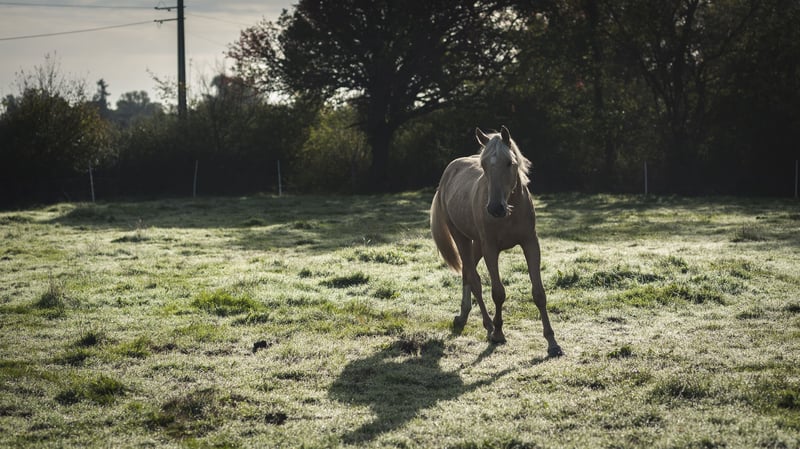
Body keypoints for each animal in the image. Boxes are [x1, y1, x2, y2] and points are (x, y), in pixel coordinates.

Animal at [430, 126, 563, 357]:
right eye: (483, 165)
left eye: (509, 162)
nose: (495, 208)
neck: (511, 210)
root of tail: (448, 173)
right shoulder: (491, 249)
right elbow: (498, 293)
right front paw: (499, 333)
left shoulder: (530, 244)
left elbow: (539, 293)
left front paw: (552, 343)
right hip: (462, 238)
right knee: (474, 279)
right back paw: (488, 326)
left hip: (476, 243)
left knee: (467, 272)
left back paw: (463, 316)